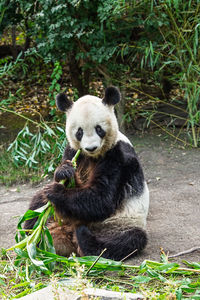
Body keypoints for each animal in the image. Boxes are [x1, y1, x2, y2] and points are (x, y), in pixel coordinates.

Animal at [24, 86, 148, 260]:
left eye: (99, 129)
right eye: (79, 132)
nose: (91, 147)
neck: (93, 157)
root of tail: (67, 234)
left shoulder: (117, 157)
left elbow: (102, 198)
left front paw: (57, 191)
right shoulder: (73, 151)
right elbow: (70, 175)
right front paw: (64, 172)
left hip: (120, 223)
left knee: (126, 240)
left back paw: (83, 237)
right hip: (56, 216)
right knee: (38, 204)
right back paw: (34, 235)